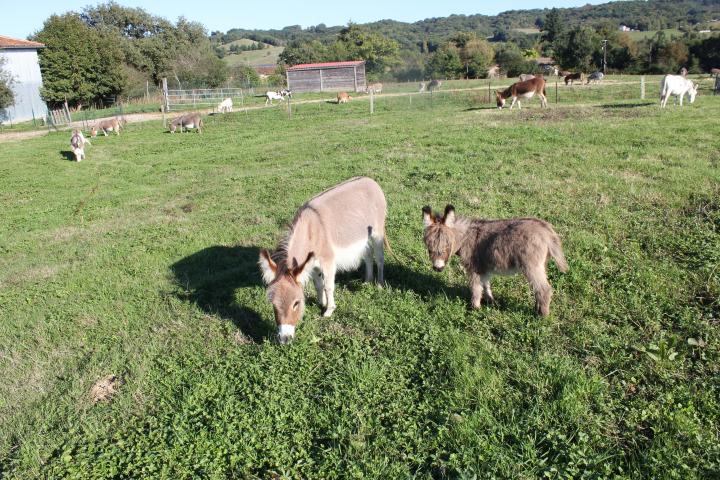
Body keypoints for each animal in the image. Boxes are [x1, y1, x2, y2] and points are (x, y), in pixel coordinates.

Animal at [258, 178, 388, 344]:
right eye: (272, 304)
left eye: (296, 303)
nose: (284, 339)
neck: (311, 231)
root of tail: (370, 180)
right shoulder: (311, 265)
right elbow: (318, 285)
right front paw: (322, 302)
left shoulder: (328, 261)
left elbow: (328, 286)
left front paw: (329, 310)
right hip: (363, 238)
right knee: (368, 255)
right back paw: (367, 281)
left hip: (377, 232)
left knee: (379, 257)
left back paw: (379, 284)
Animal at [422, 205, 568, 316]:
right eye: (429, 247)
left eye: (447, 245)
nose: (438, 268)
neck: (465, 238)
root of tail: (547, 232)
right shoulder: (483, 268)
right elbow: (485, 285)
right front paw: (490, 301)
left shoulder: (474, 268)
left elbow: (476, 288)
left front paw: (474, 308)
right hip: (541, 265)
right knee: (538, 289)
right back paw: (537, 309)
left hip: (531, 266)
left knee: (544, 289)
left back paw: (542, 316)